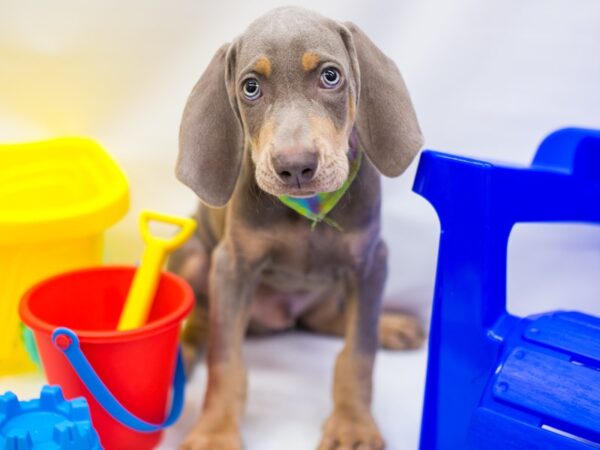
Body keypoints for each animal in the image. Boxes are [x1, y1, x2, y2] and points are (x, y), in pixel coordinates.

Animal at [168, 7, 422, 450]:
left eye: (330, 76)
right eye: (250, 87)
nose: (296, 167)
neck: (309, 212)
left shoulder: (371, 262)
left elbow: (359, 350)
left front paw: (352, 424)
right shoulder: (232, 266)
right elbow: (225, 358)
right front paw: (215, 431)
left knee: (325, 319)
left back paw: (391, 325)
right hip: (197, 258)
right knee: (201, 320)